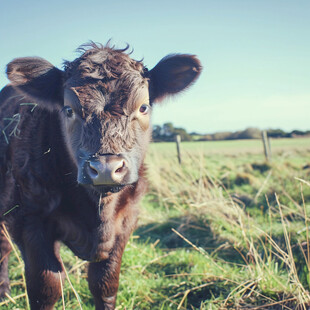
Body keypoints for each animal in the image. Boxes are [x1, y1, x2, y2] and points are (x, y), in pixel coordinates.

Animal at [0, 42, 201, 308]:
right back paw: (4, 290)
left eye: (143, 107)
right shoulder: (28, 220)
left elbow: (104, 283)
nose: (106, 168)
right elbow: (46, 287)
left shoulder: (126, 222)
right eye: (68, 109)